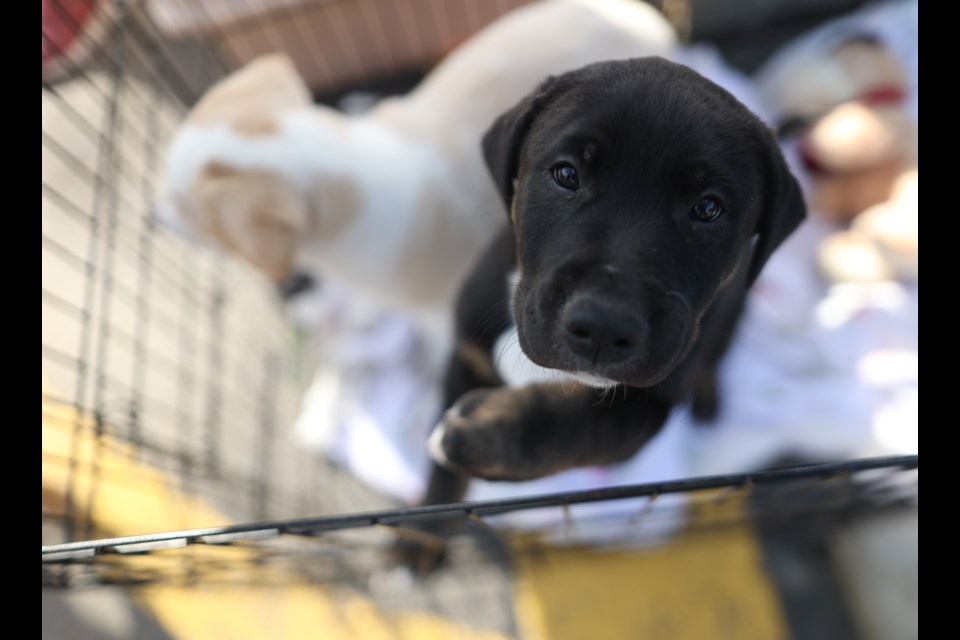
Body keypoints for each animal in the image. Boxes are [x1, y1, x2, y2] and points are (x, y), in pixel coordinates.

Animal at [404, 57, 804, 568]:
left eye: (708, 208)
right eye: (566, 174)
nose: (602, 327)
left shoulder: (648, 405)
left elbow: (578, 429)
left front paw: (479, 436)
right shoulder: (466, 353)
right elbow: (442, 482)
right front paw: (417, 538)